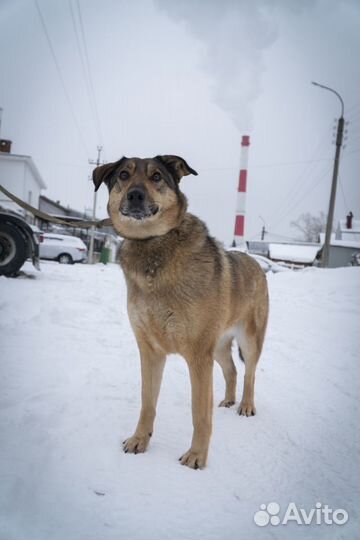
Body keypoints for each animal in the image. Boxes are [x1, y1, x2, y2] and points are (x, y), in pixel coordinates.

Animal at [91, 155, 268, 468]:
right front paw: (139, 440)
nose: (135, 195)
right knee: (232, 370)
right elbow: (147, 402)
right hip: (219, 346)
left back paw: (246, 405)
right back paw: (228, 400)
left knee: (249, 373)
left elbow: (199, 413)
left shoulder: (198, 356)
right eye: (123, 175)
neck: (152, 244)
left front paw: (196, 456)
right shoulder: (150, 351)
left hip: (249, 340)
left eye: (157, 177)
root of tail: (257, 263)